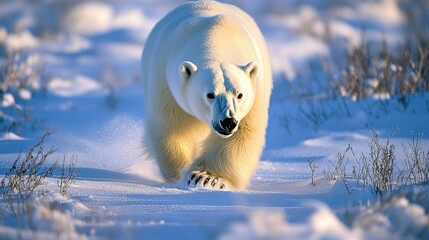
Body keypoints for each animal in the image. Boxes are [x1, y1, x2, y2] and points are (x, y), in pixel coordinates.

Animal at [142, 0, 272, 190]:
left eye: (239, 95)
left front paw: (207, 178)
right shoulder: (165, 81)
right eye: (210, 94)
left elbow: (243, 132)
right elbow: (171, 126)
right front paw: (180, 175)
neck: (215, 36)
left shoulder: (254, 94)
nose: (228, 122)